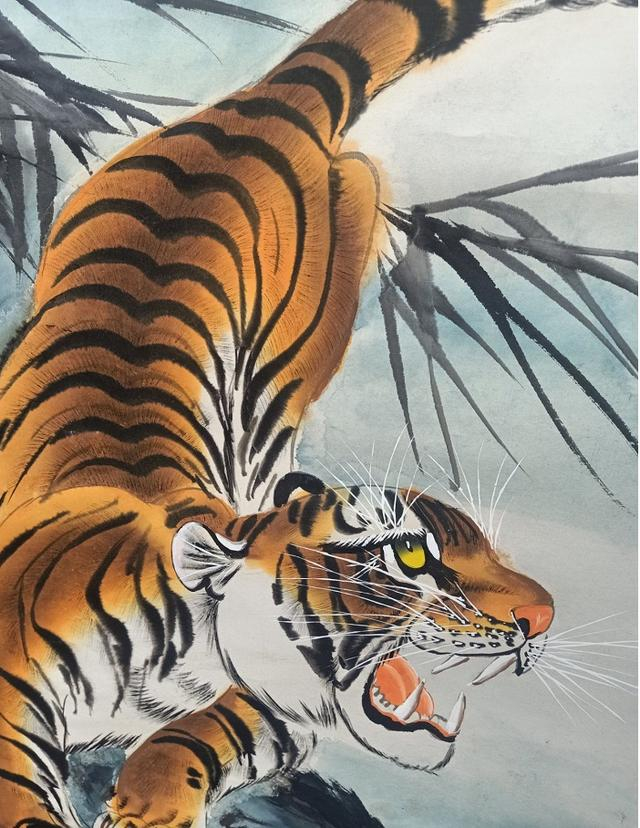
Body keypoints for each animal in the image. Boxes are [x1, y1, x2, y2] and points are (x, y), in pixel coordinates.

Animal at [0, 1, 572, 825]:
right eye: (411, 555)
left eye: (491, 551)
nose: (544, 616)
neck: (188, 659)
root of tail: (261, 107)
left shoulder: (280, 712)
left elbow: (196, 738)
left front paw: (151, 802)